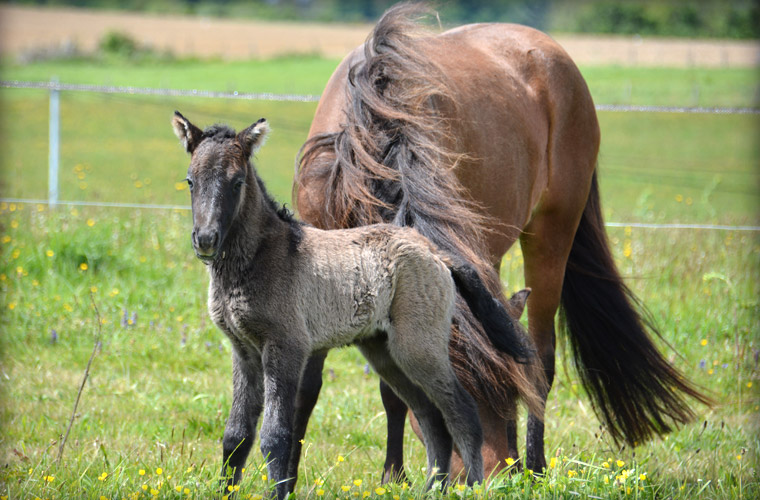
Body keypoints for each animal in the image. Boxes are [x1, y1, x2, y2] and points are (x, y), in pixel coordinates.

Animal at [171, 111, 532, 498]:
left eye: (237, 182)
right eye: (190, 181)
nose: (206, 240)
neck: (261, 257)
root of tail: (435, 251)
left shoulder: (286, 346)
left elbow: (275, 435)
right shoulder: (244, 350)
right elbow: (236, 434)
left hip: (417, 346)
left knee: (461, 411)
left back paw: (470, 486)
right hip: (384, 352)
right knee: (430, 415)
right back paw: (431, 488)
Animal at [290, 1, 708, 482]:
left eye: (509, 397)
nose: (493, 477)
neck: (371, 142)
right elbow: (337, 384)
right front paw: (377, 475)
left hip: (550, 234)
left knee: (542, 356)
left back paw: (537, 465)